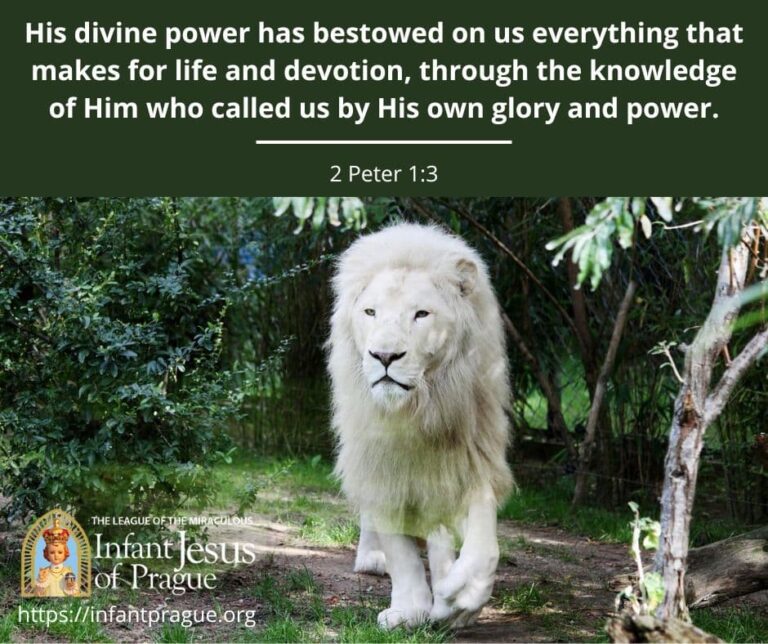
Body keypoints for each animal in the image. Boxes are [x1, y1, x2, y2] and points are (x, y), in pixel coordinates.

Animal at [327, 223, 514, 630]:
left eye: (421, 314)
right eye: (370, 311)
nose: (384, 356)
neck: (416, 411)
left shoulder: (473, 455)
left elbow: (483, 542)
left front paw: (460, 598)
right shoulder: (381, 465)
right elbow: (401, 553)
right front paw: (409, 610)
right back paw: (371, 559)